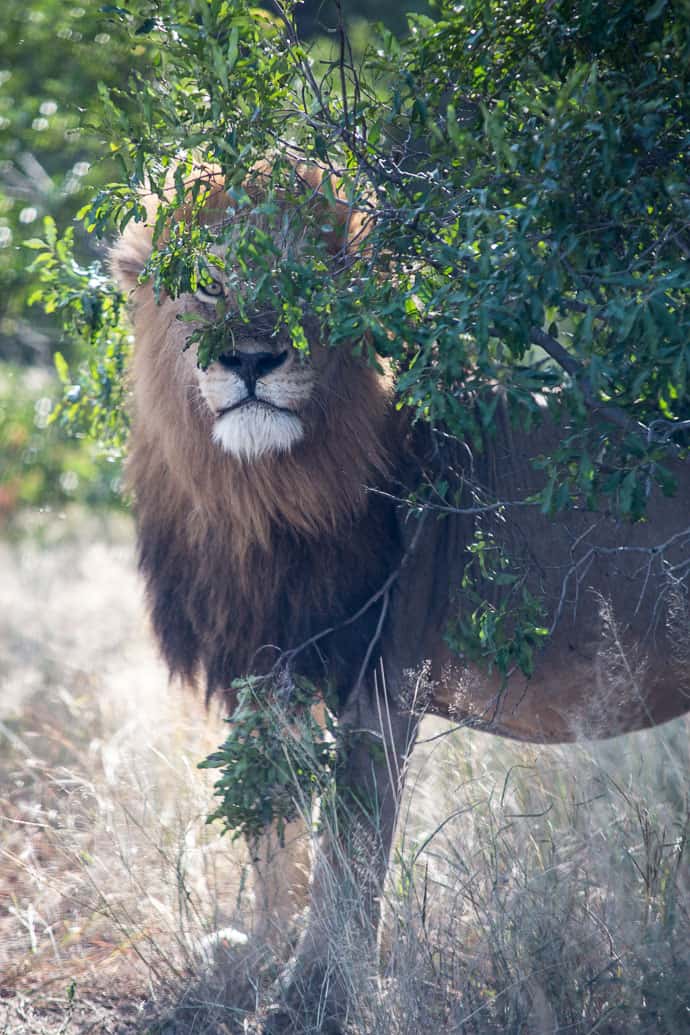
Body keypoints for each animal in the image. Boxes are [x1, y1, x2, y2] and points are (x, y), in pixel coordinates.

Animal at [110, 165, 690, 1030]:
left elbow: (347, 852)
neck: (257, 497)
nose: (252, 358)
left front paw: (312, 996)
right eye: (208, 283)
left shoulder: (384, 673)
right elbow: (273, 826)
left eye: (307, 280)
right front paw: (259, 950)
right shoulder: (265, 662)